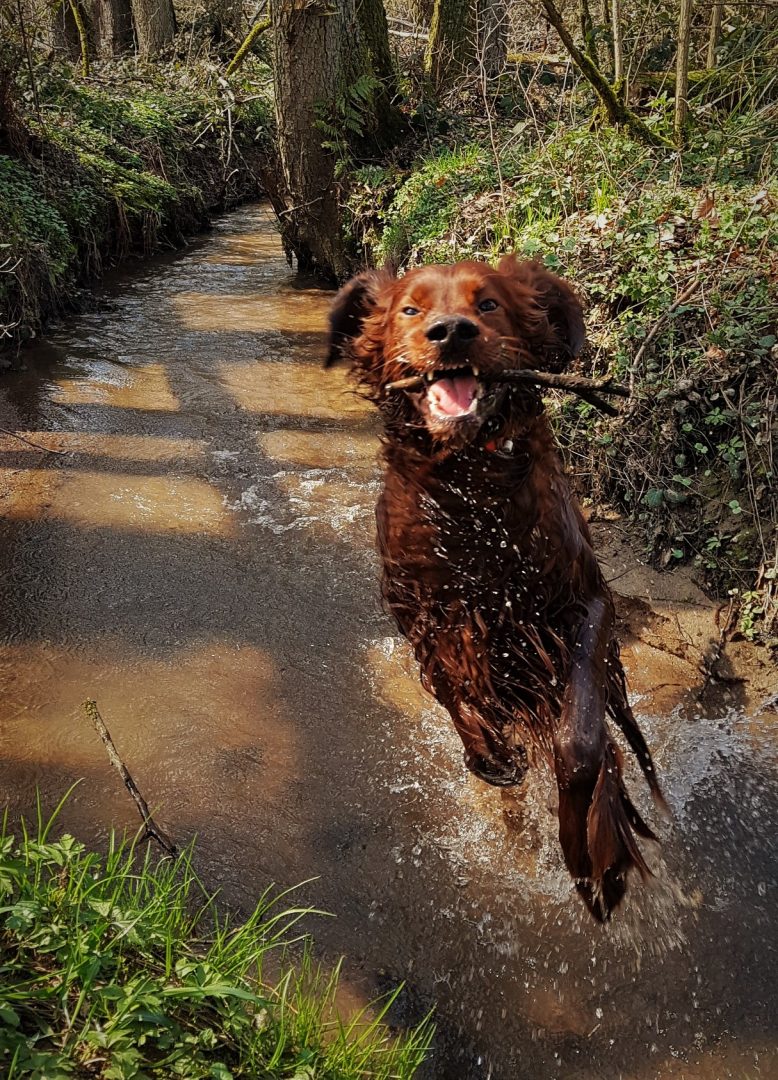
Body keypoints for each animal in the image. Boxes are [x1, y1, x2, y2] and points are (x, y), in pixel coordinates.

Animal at [324, 254, 665, 920]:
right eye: (410, 309)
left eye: (489, 304)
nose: (451, 333)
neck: (470, 487)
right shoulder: (428, 617)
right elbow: (458, 698)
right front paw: (488, 753)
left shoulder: (578, 604)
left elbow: (582, 742)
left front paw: (592, 856)